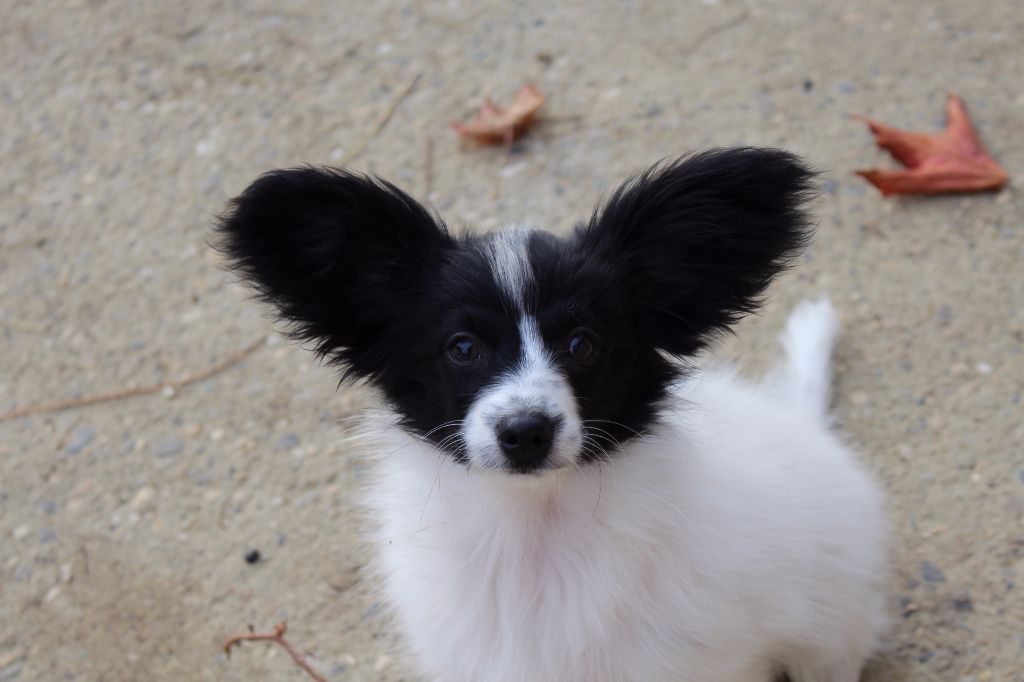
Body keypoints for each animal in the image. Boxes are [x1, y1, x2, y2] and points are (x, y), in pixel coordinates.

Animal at [218, 148, 888, 679]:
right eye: (463, 348)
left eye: (582, 343)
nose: (525, 432)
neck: (532, 532)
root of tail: (802, 422)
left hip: (832, 630)